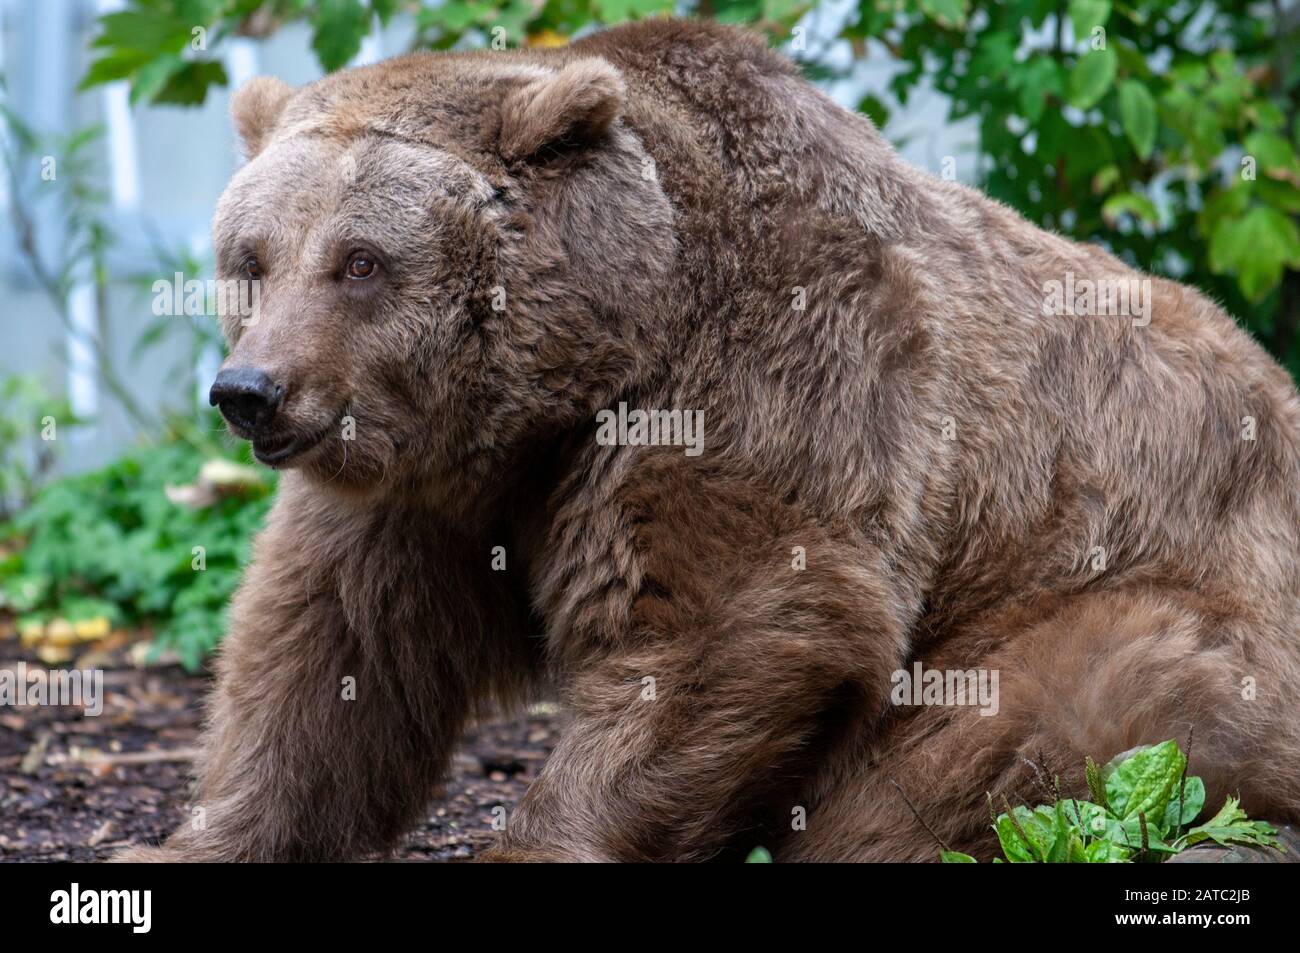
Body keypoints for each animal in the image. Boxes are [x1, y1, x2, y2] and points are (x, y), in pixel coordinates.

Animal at [122, 16, 1300, 863]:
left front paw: (537, 842)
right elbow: (328, 651)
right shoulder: (425, 487)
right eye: (252, 257)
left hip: (1131, 579)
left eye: (360, 260)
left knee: (1017, 730)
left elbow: (734, 619)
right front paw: (203, 836)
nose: (250, 390)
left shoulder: (775, 374)